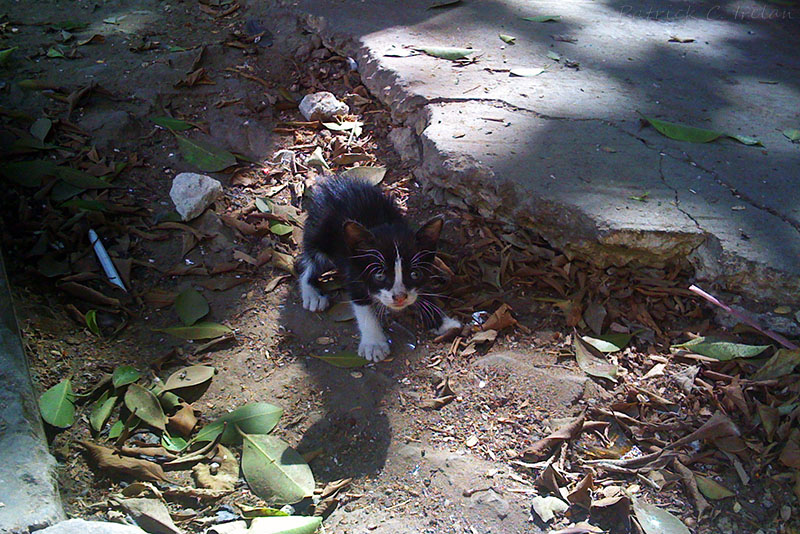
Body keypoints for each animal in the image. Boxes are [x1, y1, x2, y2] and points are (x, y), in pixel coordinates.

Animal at [298, 178, 462, 362]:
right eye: (379, 275)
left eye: (414, 274)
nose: (400, 297)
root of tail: (332, 183)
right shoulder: (353, 270)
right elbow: (362, 304)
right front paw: (374, 343)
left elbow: (425, 292)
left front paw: (443, 323)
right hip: (319, 233)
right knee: (309, 262)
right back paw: (312, 294)